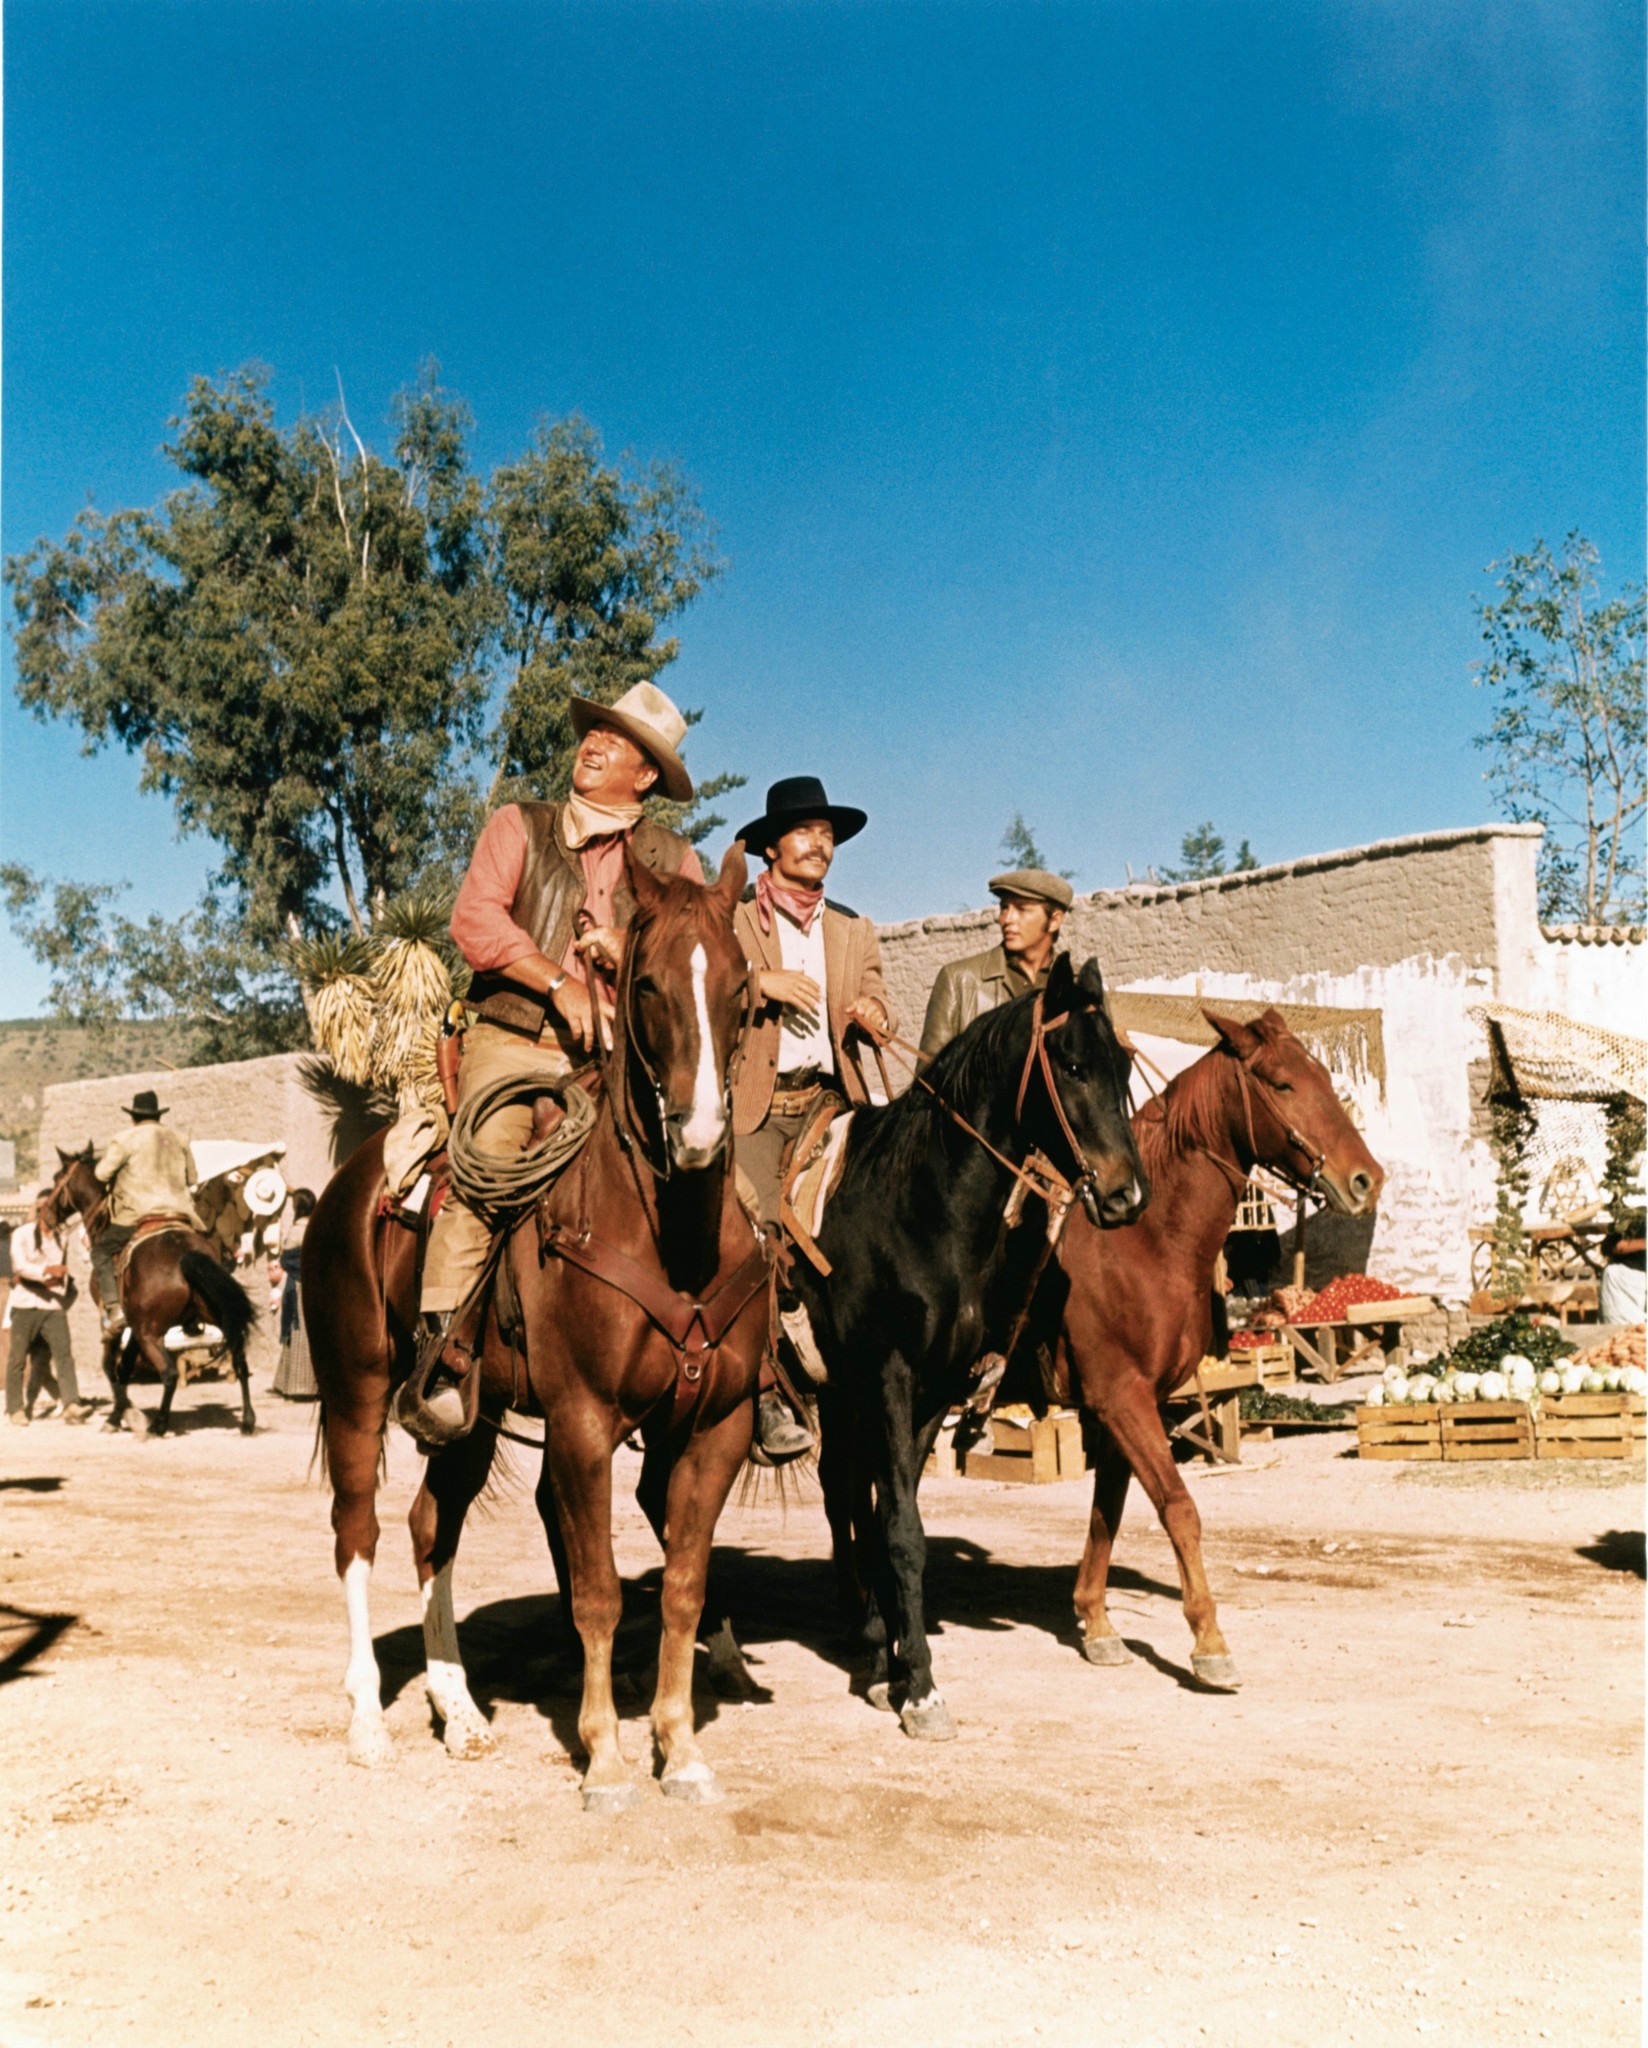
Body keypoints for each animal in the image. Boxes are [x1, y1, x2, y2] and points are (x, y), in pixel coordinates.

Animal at [41, 1146, 255, 1433]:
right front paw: (121, 1414)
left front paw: (116, 1416)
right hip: (214, 1319)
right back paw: (247, 1420)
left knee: (170, 1373)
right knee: (240, 1363)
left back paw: (158, 1425)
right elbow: (125, 1366)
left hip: (150, 1334)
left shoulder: (113, 1324)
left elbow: (110, 1367)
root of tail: (184, 1254)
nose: (47, 1214)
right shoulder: (133, 1325)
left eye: (57, 1178)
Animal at [802, 950, 1146, 1736]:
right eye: (1072, 1065)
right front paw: (922, 1689)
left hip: (838, 1393)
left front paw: (893, 1667)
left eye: (1121, 1063)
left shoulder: (930, 1390)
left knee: (841, 1493)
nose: (1126, 1196)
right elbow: (900, 1529)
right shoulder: (891, 1378)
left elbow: (893, 1522)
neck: (920, 1210)